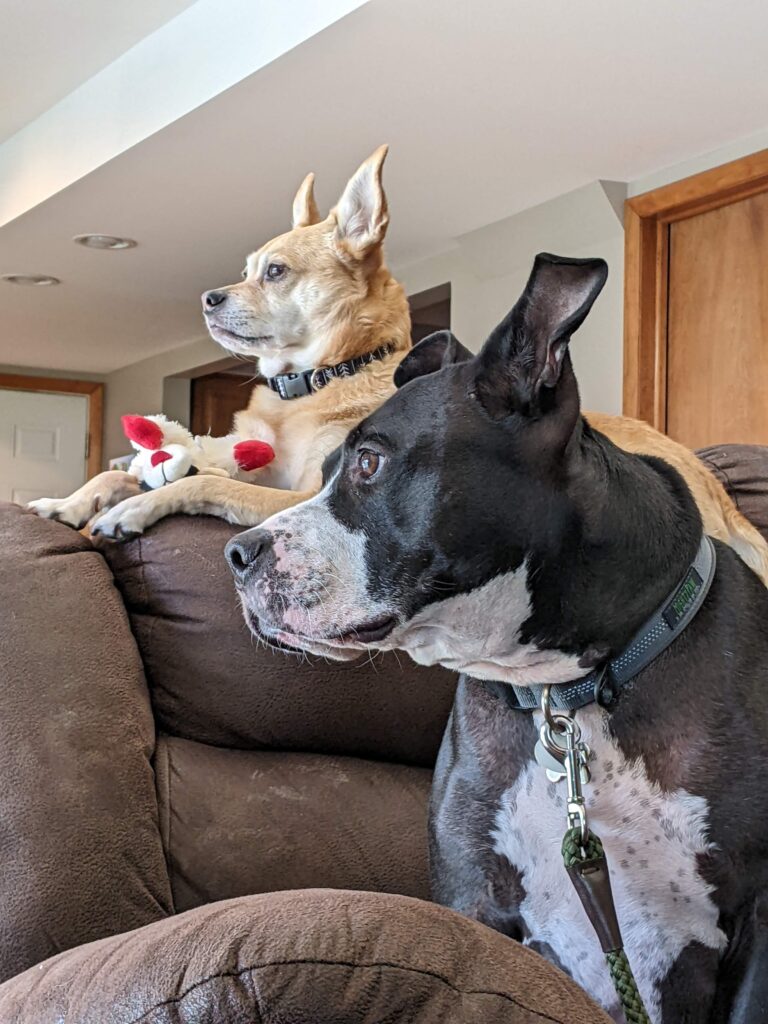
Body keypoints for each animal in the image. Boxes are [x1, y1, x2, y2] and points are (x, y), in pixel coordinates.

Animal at [28, 146, 412, 538]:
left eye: (276, 271)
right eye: (245, 273)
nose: (206, 299)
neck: (318, 380)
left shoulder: (310, 494)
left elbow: (204, 482)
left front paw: (133, 507)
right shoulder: (260, 474)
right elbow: (116, 474)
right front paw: (65, 504)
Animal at [225, 254, 768, 1023]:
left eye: (369, 463)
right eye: (326, 471)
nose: (237, 555)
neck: (563, 690)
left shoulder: (759, 920)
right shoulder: (474, 905)